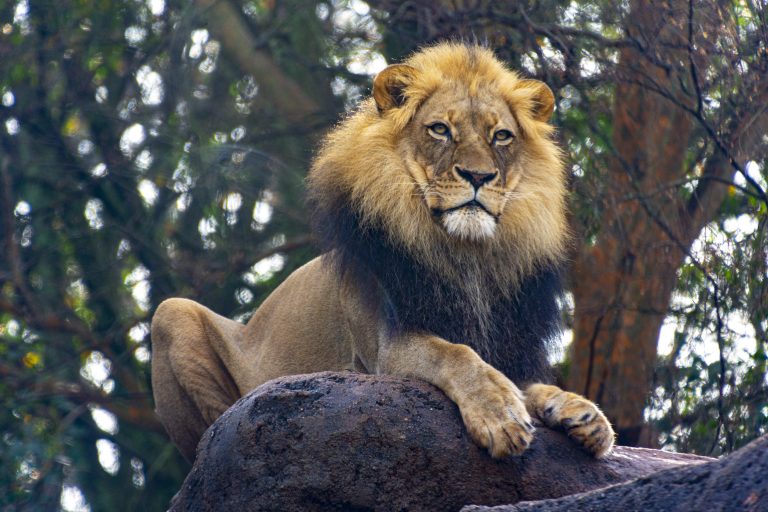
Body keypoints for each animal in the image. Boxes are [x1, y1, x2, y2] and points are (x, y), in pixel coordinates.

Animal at [152, 42, 612, 462]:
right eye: (440, 129)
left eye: (501, 136)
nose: (479, 176)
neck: (464, 255)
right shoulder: (385, 350)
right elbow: (457, 354)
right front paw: (500, 415)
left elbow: (523, 381)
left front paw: (580, 411)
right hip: (172, 313)